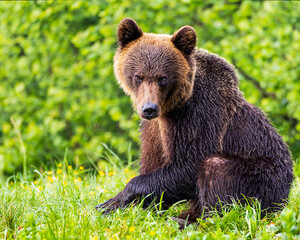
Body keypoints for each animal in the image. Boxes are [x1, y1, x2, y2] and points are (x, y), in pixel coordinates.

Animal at [97, 17, 294, 224]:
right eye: (138, 76)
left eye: (162, 78)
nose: (149, 108)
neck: (171, 107)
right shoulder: (154, 130)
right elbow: (152, 160)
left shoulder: (198, 116)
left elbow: (189, 164)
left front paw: (112, 202)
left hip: (263, 177)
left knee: (217, 171)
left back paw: (191, 220)